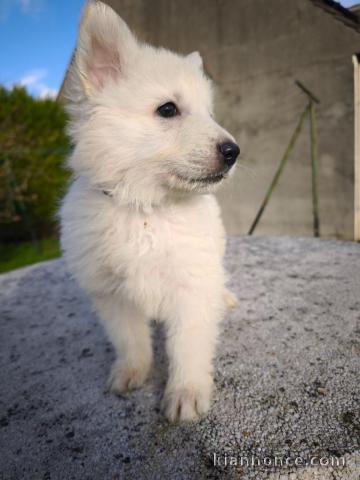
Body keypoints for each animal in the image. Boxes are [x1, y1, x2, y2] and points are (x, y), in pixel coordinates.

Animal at [59, 0, 239, 422]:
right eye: (168, 109)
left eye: (209, 114)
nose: (234, 152)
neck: (146, 209)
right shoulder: (112, 296)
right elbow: (131, 340)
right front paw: (131, 373)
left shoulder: (192, 288)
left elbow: (188, 347)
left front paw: (186, 393)